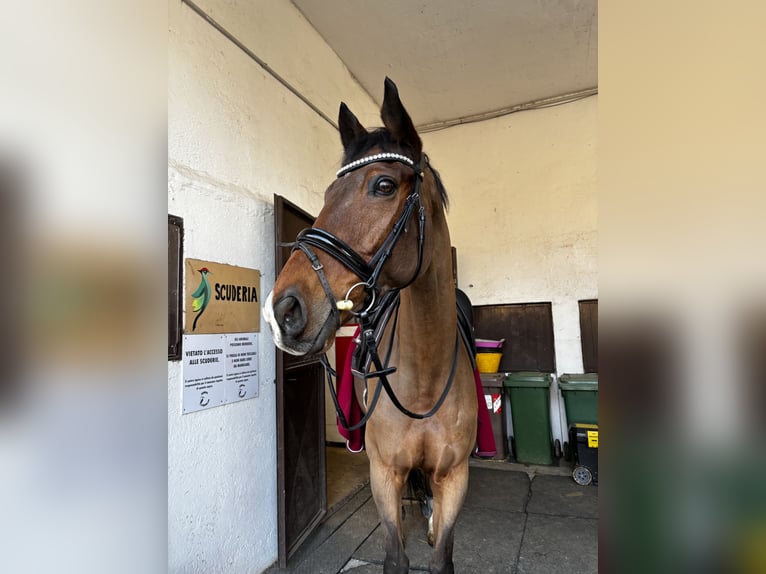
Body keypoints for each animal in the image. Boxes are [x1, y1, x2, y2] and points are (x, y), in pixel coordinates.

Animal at [268, 77, 476, 574]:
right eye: (326, 196)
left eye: (383, 184)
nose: (283, 309)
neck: (424, 379)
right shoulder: (383, 474)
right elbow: (394, 557)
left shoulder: (455, 477)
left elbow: (442, 556)